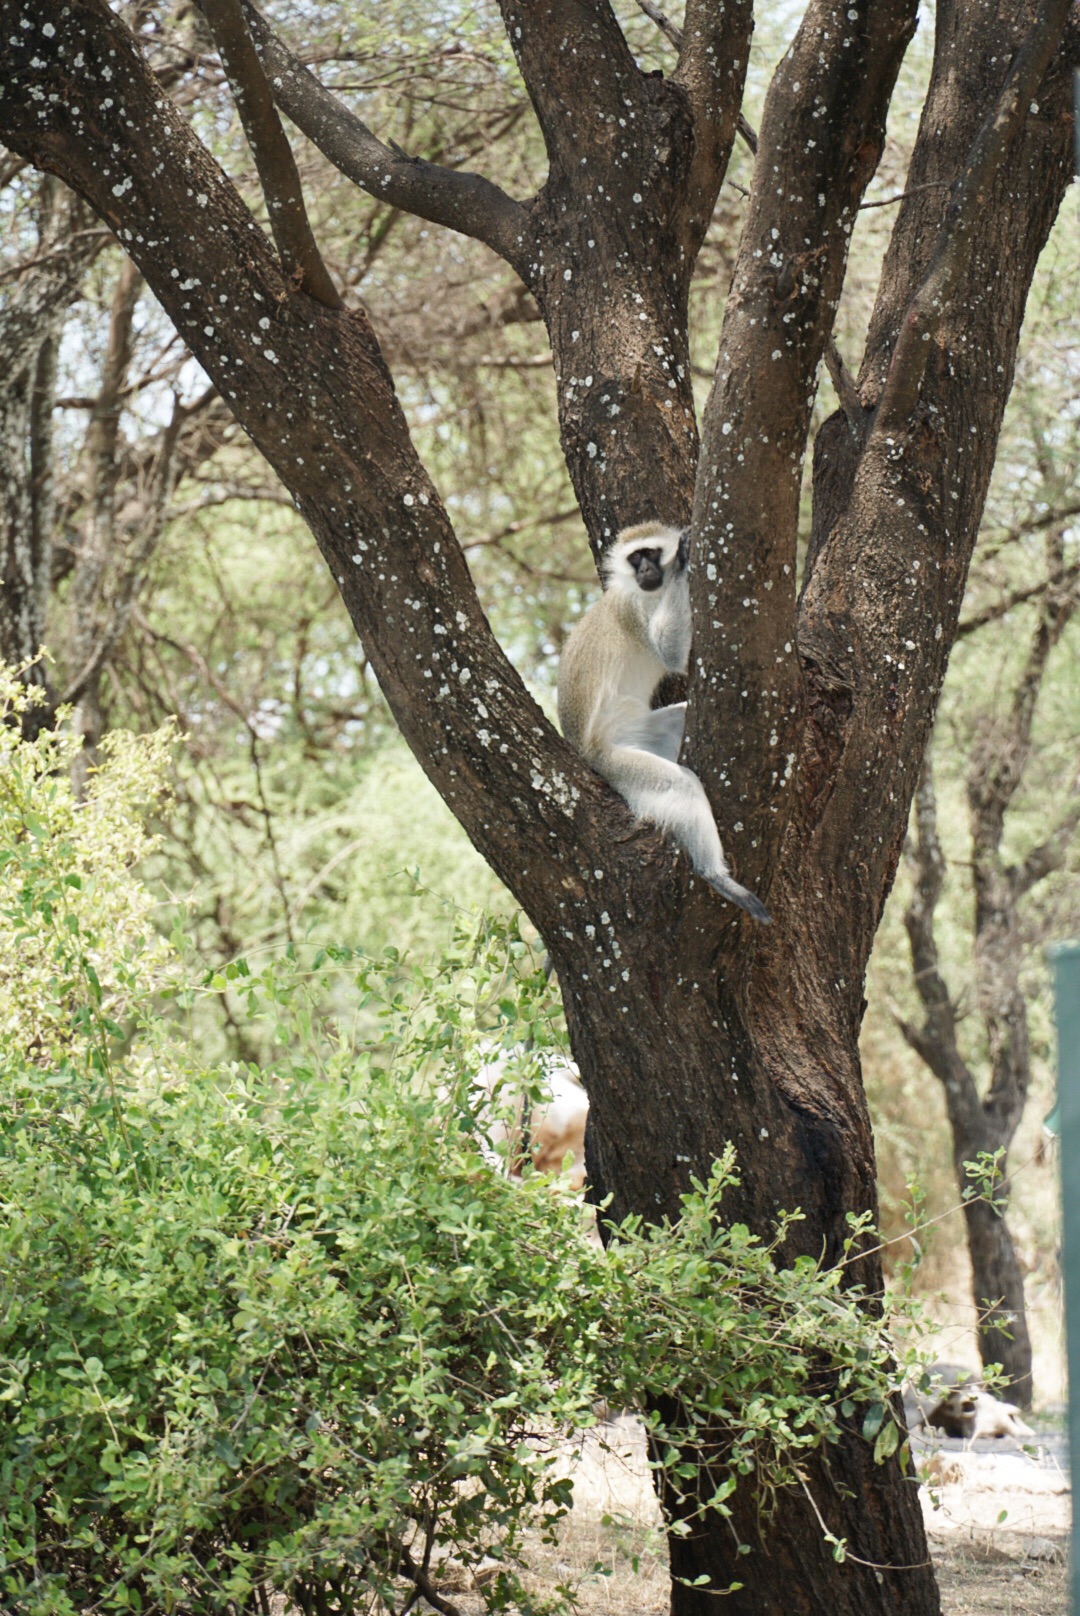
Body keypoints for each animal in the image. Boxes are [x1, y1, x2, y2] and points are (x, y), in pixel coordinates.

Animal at [556, 520, 766, 924]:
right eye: (634, 557)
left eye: (650, 553)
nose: (645, 571)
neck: (651, 595)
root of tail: (588, 756)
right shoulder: (630, 612)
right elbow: (671, 654)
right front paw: (683, 560)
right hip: (615, 762)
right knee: (679, 786)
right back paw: (714, 874)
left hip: (644, 734)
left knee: (678, 720)